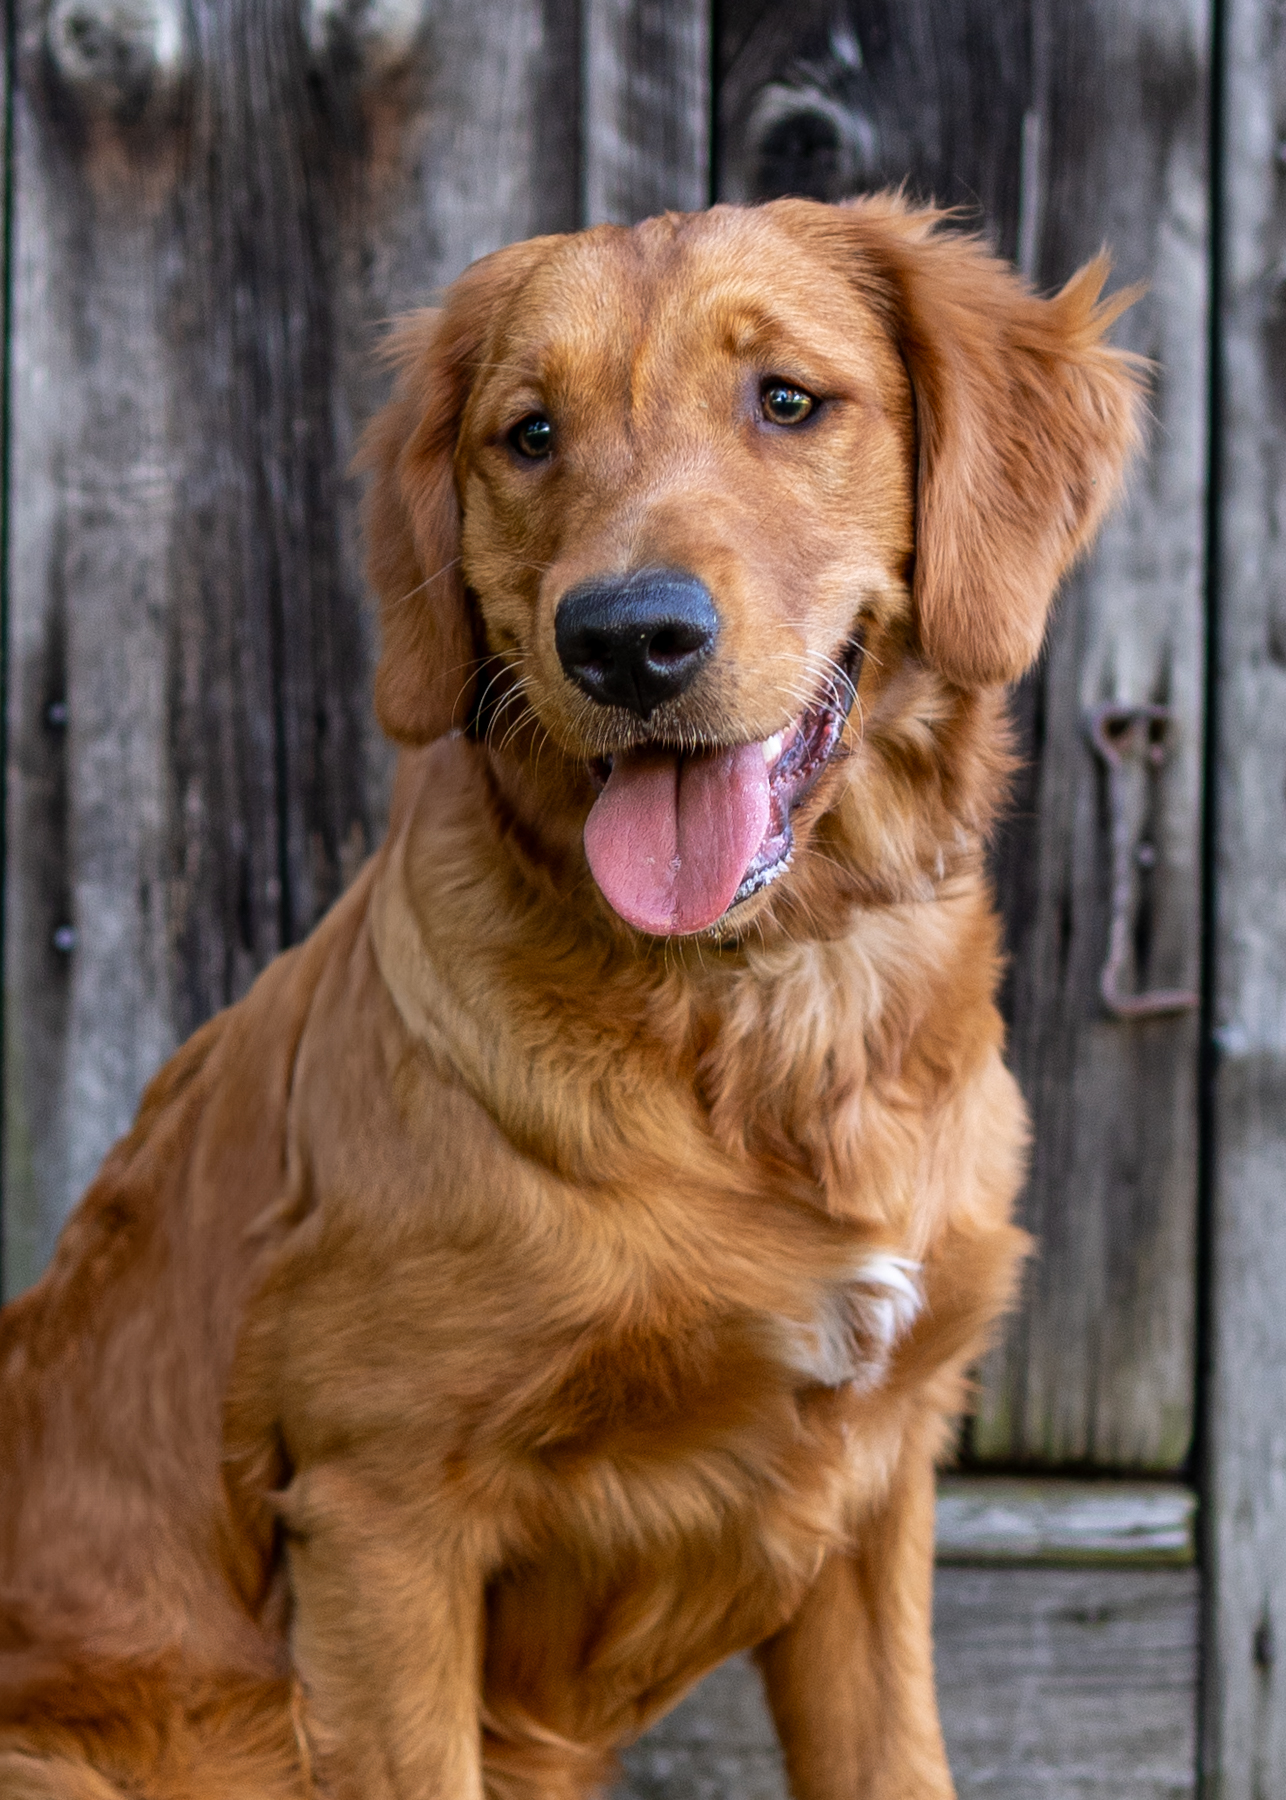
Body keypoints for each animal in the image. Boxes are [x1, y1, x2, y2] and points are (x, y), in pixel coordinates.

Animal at [0, 194, 1140, 1800]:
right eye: (527, 435)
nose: (625, 639)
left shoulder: (874, 1478)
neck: (767, 994)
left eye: (786, 401)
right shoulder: (380, 1511)